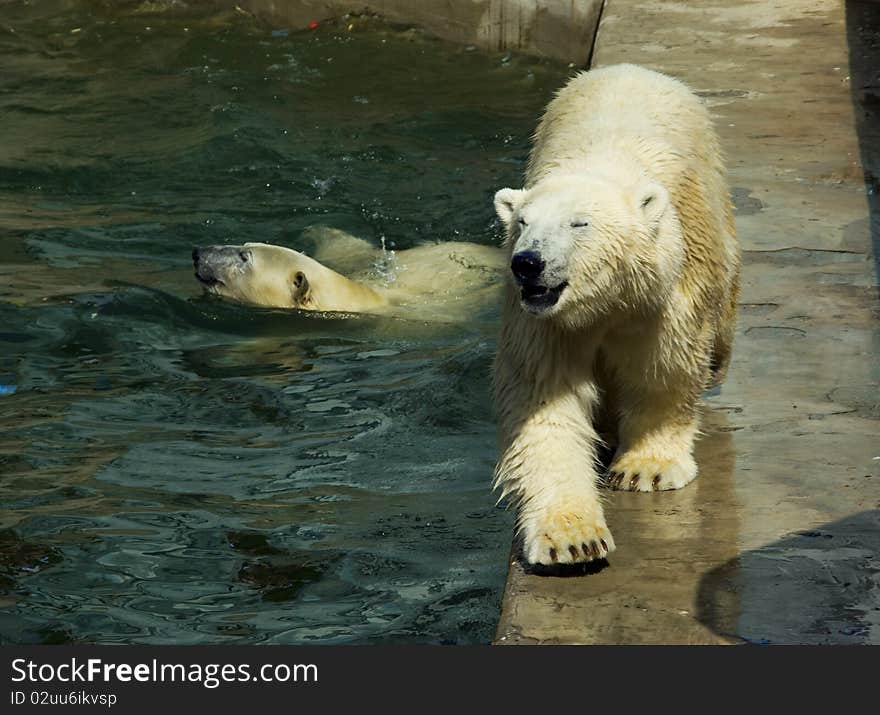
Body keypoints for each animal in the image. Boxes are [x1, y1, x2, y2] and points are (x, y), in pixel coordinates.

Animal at [492, 64, 740, 568]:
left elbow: (662, 369)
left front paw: (646, 469)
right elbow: (546, 400)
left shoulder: (664, 294)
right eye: (523, 222)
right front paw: (572, 538)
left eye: (579, 223)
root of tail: (631, 69)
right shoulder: (542, 321)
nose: (527, 263)